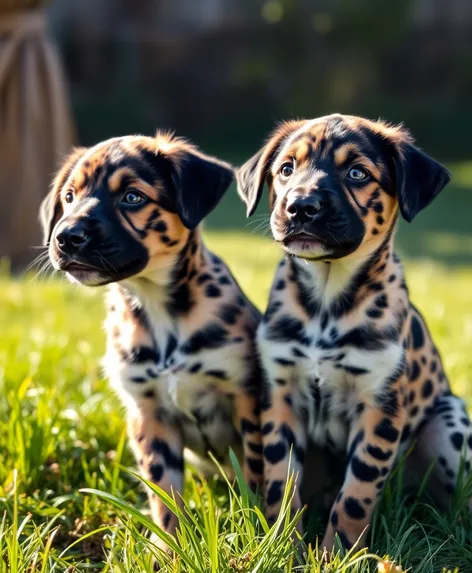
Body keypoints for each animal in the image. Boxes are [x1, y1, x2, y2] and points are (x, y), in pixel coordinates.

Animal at [40, 132, 262, 552]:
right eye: (69, 197)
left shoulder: (247, 399)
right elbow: (165, 495)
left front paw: (267, 532)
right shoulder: (150, 414)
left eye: (132, 197)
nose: (65, 237)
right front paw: (169, 549)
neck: (157, 308)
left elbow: (262, 478)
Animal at [238, 115, 472, 548]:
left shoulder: (379, 408)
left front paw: (337, 554)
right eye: (286, 169)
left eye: (357, 173)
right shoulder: (279, 396)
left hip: (450, 424)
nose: (301, 206)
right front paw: (284, 548)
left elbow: (355, 496)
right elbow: (281, 485)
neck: (327, 301)